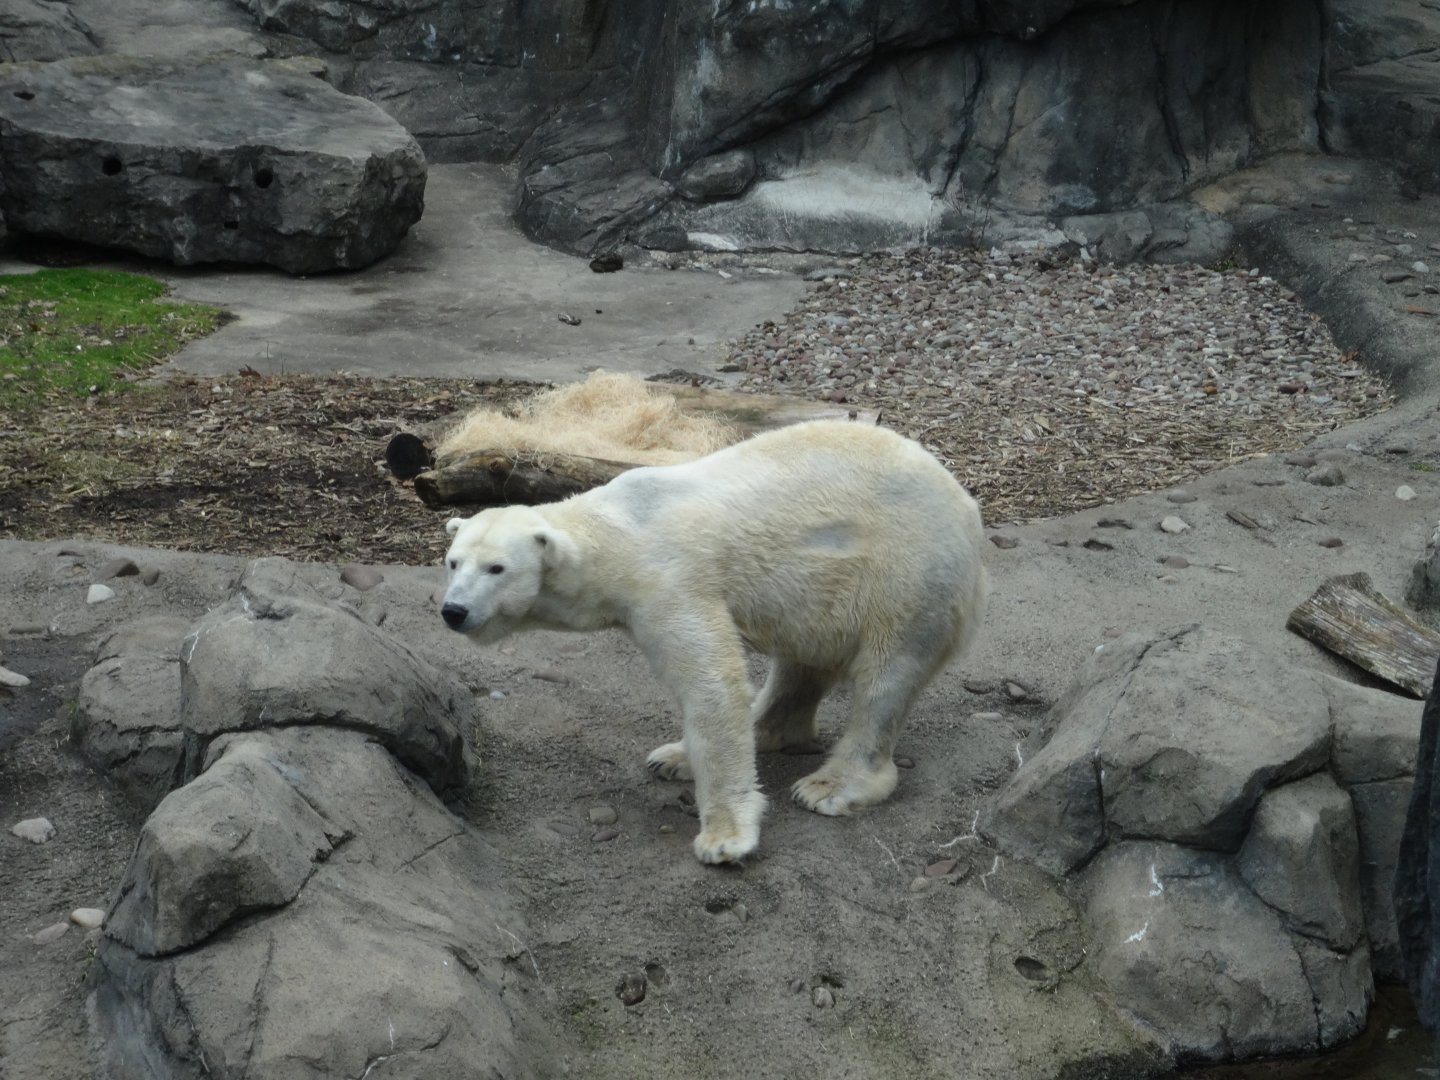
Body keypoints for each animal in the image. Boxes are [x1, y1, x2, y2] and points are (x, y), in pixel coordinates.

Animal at [440, 419, 987, 865]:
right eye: (452, 561)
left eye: (496, 568)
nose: (453, 610)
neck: (616, 531)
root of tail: (965, 503)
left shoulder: (668, 579)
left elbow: (710, 684)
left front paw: (724, 837)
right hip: (827, 588)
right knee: (801, 662)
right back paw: (684, 755)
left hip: (908, 571)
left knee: (886, 676)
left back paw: (829, 787)